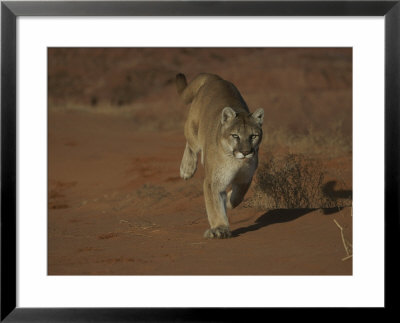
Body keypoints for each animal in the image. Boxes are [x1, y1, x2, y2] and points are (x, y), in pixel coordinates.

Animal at [177, 74, 264, 240]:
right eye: (235, 136)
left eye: (253, 136)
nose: (246, 152)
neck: (236, 161)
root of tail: (216, 77)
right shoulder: (213, 181)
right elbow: (215, 207)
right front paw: (219, 228)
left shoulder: (246, 177)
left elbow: (238, 197)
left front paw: (228, 201)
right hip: (193, 128)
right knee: (191, 145)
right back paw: (187, 169)